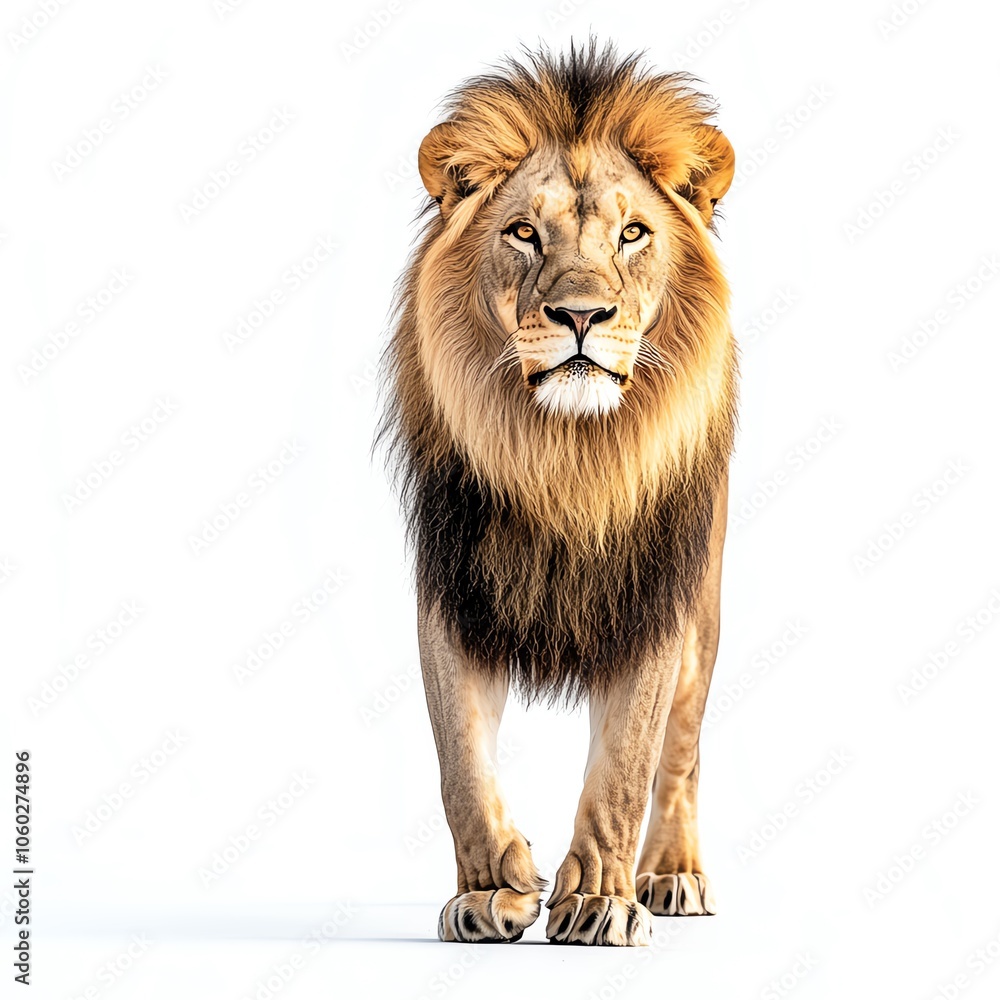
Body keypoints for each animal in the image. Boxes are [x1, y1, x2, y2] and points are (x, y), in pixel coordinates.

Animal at [378, 41, 738, 946]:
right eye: (523, 232)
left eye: (633, 233)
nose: (581, 314)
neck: (566, 460)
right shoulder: (452, 588)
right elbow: (460, 762)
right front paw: (491, 892)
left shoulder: (654, 600)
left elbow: (626, 767)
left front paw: (601, 901)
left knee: (682, 753)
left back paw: (671, 875)